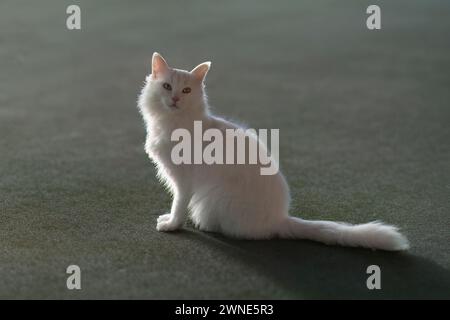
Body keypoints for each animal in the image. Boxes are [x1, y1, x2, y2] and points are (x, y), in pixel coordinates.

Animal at [137, 52, 408, 251]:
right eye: (167, 86)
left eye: (186, 91)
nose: (175, 99)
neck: (173, 123)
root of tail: (280, 218)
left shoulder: (184, 181)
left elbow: (178, 205)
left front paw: (172, 225)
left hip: (212, 199)